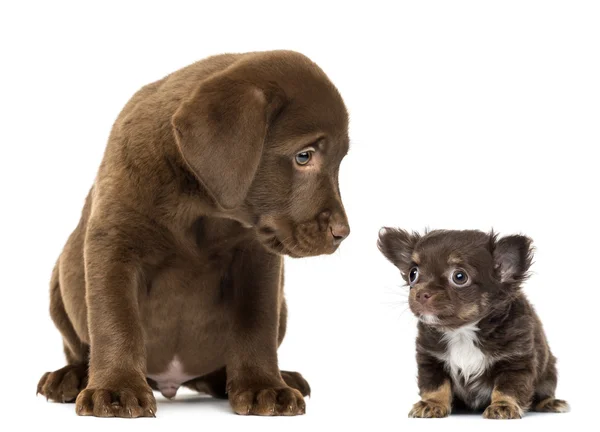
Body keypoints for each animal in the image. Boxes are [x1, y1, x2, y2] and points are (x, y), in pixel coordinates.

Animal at [378, 228, 568, 420]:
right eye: (413, 273)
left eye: (459, 277)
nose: (420, 293)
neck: (462, 331)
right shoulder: (431, 359)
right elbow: (435, 385)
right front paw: (432, 404)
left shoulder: (515, 361)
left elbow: (508, 388)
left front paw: (503, 406)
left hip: (548, 375)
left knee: (544, 392)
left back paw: (551, 403)